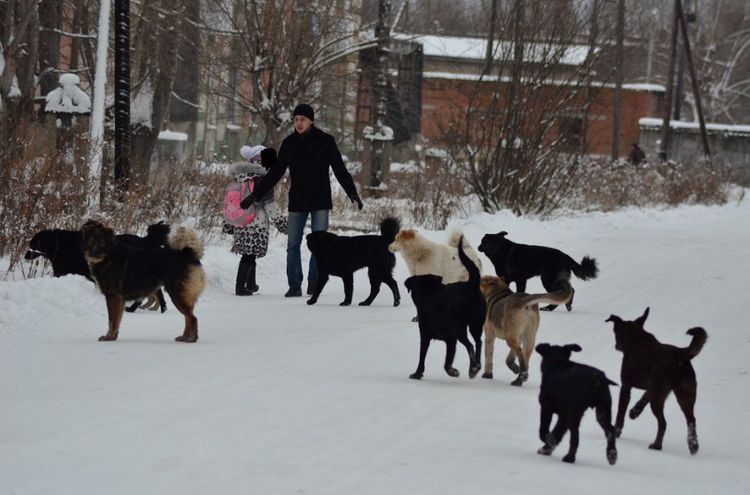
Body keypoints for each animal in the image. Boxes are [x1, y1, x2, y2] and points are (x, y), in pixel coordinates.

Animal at [406, 238, 488, 382]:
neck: (430, 295)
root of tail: (471, 286)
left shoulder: (447, 338)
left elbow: (443, 361)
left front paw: (452, 371)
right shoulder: (432, 337)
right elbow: (424, 356)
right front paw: (418, 373)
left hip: (460, 327)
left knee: (471, 345)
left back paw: (472, 367)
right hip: (475, 324)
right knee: (477, 342)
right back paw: (475, 366)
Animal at [608, 308, 708, 456]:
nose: (616, 345)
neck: (637, 339)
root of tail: (680, 354)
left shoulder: (626, 386)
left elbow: (621, 412)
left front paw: (616, 431)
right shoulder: (657, 388)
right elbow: (645, 396)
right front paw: (635, 411)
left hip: (659, 399)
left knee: (663, 423)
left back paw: (657, 445)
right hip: (686, 394)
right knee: (691, 420)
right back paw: (693, 445)